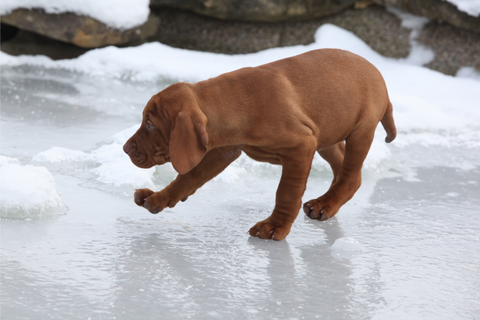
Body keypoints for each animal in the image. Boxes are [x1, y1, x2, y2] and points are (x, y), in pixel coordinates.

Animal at [124, 49, 398, 240]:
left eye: (150, 124)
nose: (126, 149)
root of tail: (381, 78)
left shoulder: (301, 146)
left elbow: (287, 192)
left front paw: (274, 226)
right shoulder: (222, 151)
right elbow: (187, 178)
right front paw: (159, 197)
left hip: (360, 131)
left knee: (351, 175)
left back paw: (325, 204)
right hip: (326, 132)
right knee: (342, 167)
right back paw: (328, 203)